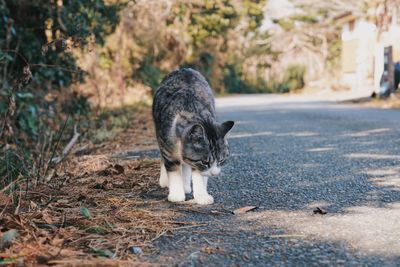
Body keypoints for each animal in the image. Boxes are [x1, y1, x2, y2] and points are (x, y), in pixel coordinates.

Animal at [153, 68, 234, 205]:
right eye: (205, 162)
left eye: (221, 160)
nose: (214, 173)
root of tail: (184, 69)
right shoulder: (168, 147)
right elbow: (173, 169)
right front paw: (176, 194)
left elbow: (199, 174)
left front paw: (202, 196)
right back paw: (165, 181)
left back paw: (185, 185)